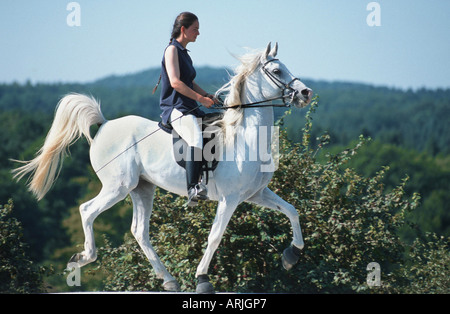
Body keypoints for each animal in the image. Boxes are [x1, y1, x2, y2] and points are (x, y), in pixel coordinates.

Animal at [12, 42, 312, 294]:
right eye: (277, 70)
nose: (305, 93)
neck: (244, 139)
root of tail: (105, 124)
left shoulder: (255, 195)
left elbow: (292, 211)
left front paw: (292, 256)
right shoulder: (230, 199)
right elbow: (215, 236)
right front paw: (202, 279)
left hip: (142, 188)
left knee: (139, 231)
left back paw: (168, 279)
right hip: (118, 187)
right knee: (87, 211)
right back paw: (83, 257)